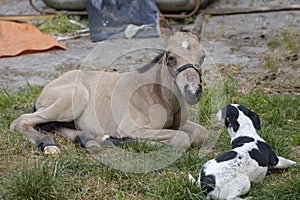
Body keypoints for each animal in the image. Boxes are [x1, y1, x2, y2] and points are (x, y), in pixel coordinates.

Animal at [12, 14, 209, 154]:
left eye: (203, 56)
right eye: (170, 57)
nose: (193, 91)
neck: (157, 95)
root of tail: (44, 91)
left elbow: (200, 133)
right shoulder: (132, 127)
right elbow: (182, 139)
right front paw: (121, 140)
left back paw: (92, 141)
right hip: (73, 99)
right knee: (21, 121)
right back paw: (47, 145)